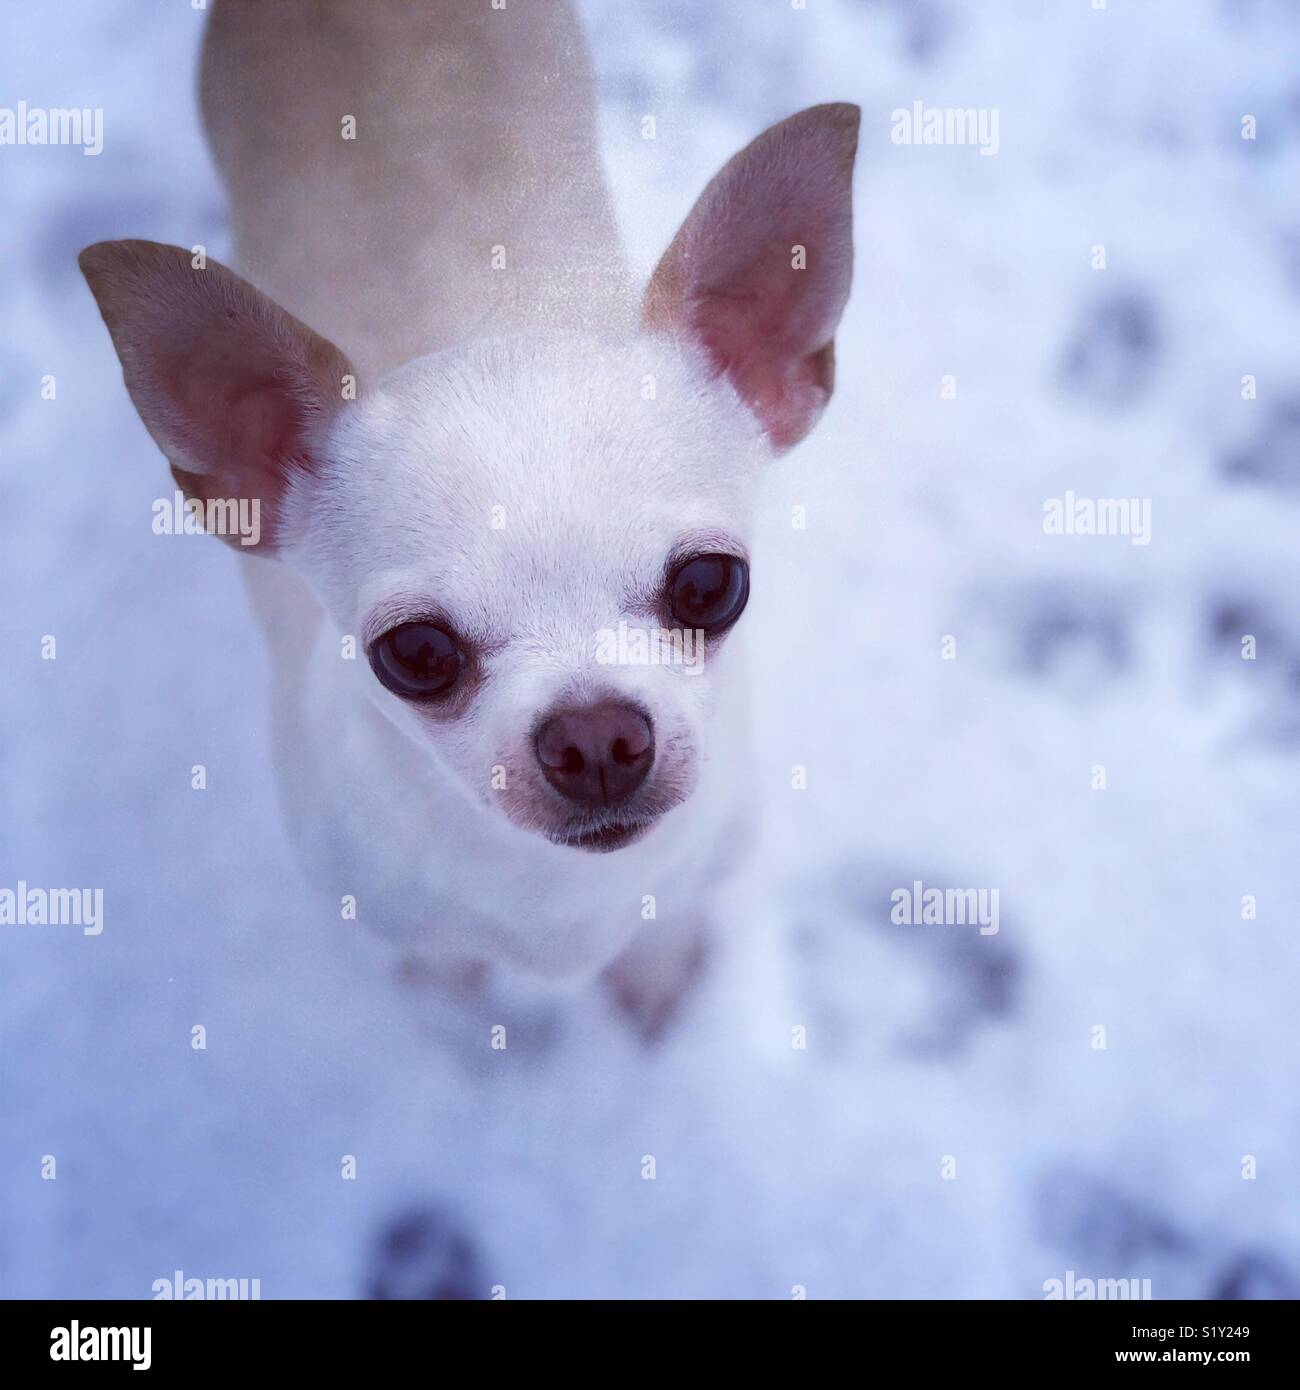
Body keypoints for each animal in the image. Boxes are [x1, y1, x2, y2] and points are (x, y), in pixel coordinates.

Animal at [76, 0, 856, 1023]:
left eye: (710, 587)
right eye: (415, 654)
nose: (594, 734)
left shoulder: (690, 877)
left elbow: (663, 933)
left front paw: (655, 996)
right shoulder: (409, 929)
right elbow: (446, 978)